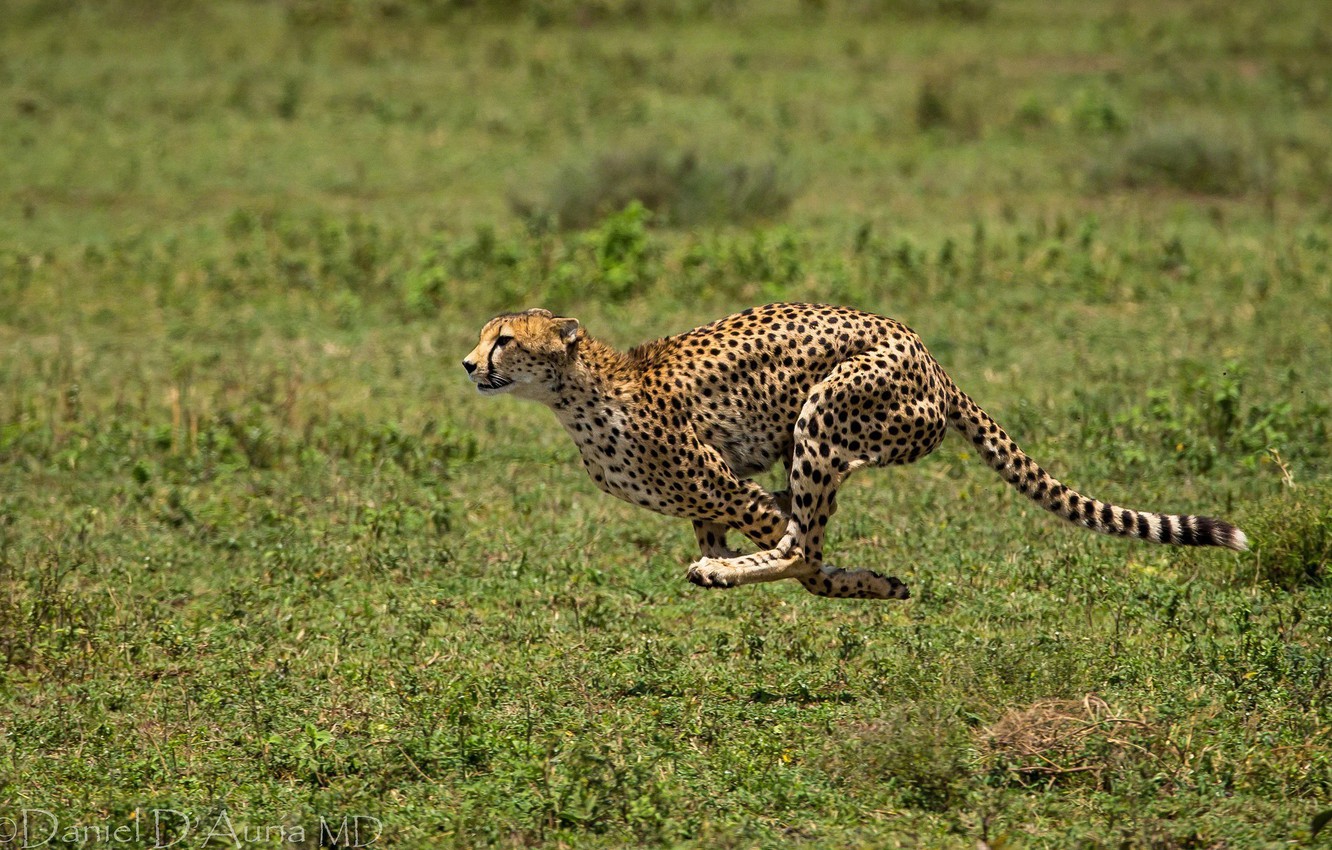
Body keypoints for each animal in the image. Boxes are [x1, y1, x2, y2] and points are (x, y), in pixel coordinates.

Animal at [462, 303, 1247, 601]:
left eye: (504, 339)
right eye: (484, 335)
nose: (468, 365)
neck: (574, 394)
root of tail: (929, 354)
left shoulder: (732, 487)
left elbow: (800, 552)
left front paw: (845, 579)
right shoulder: (710, 499)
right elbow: (774, 538)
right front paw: (873, 581)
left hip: (824, 415)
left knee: (803, 544)